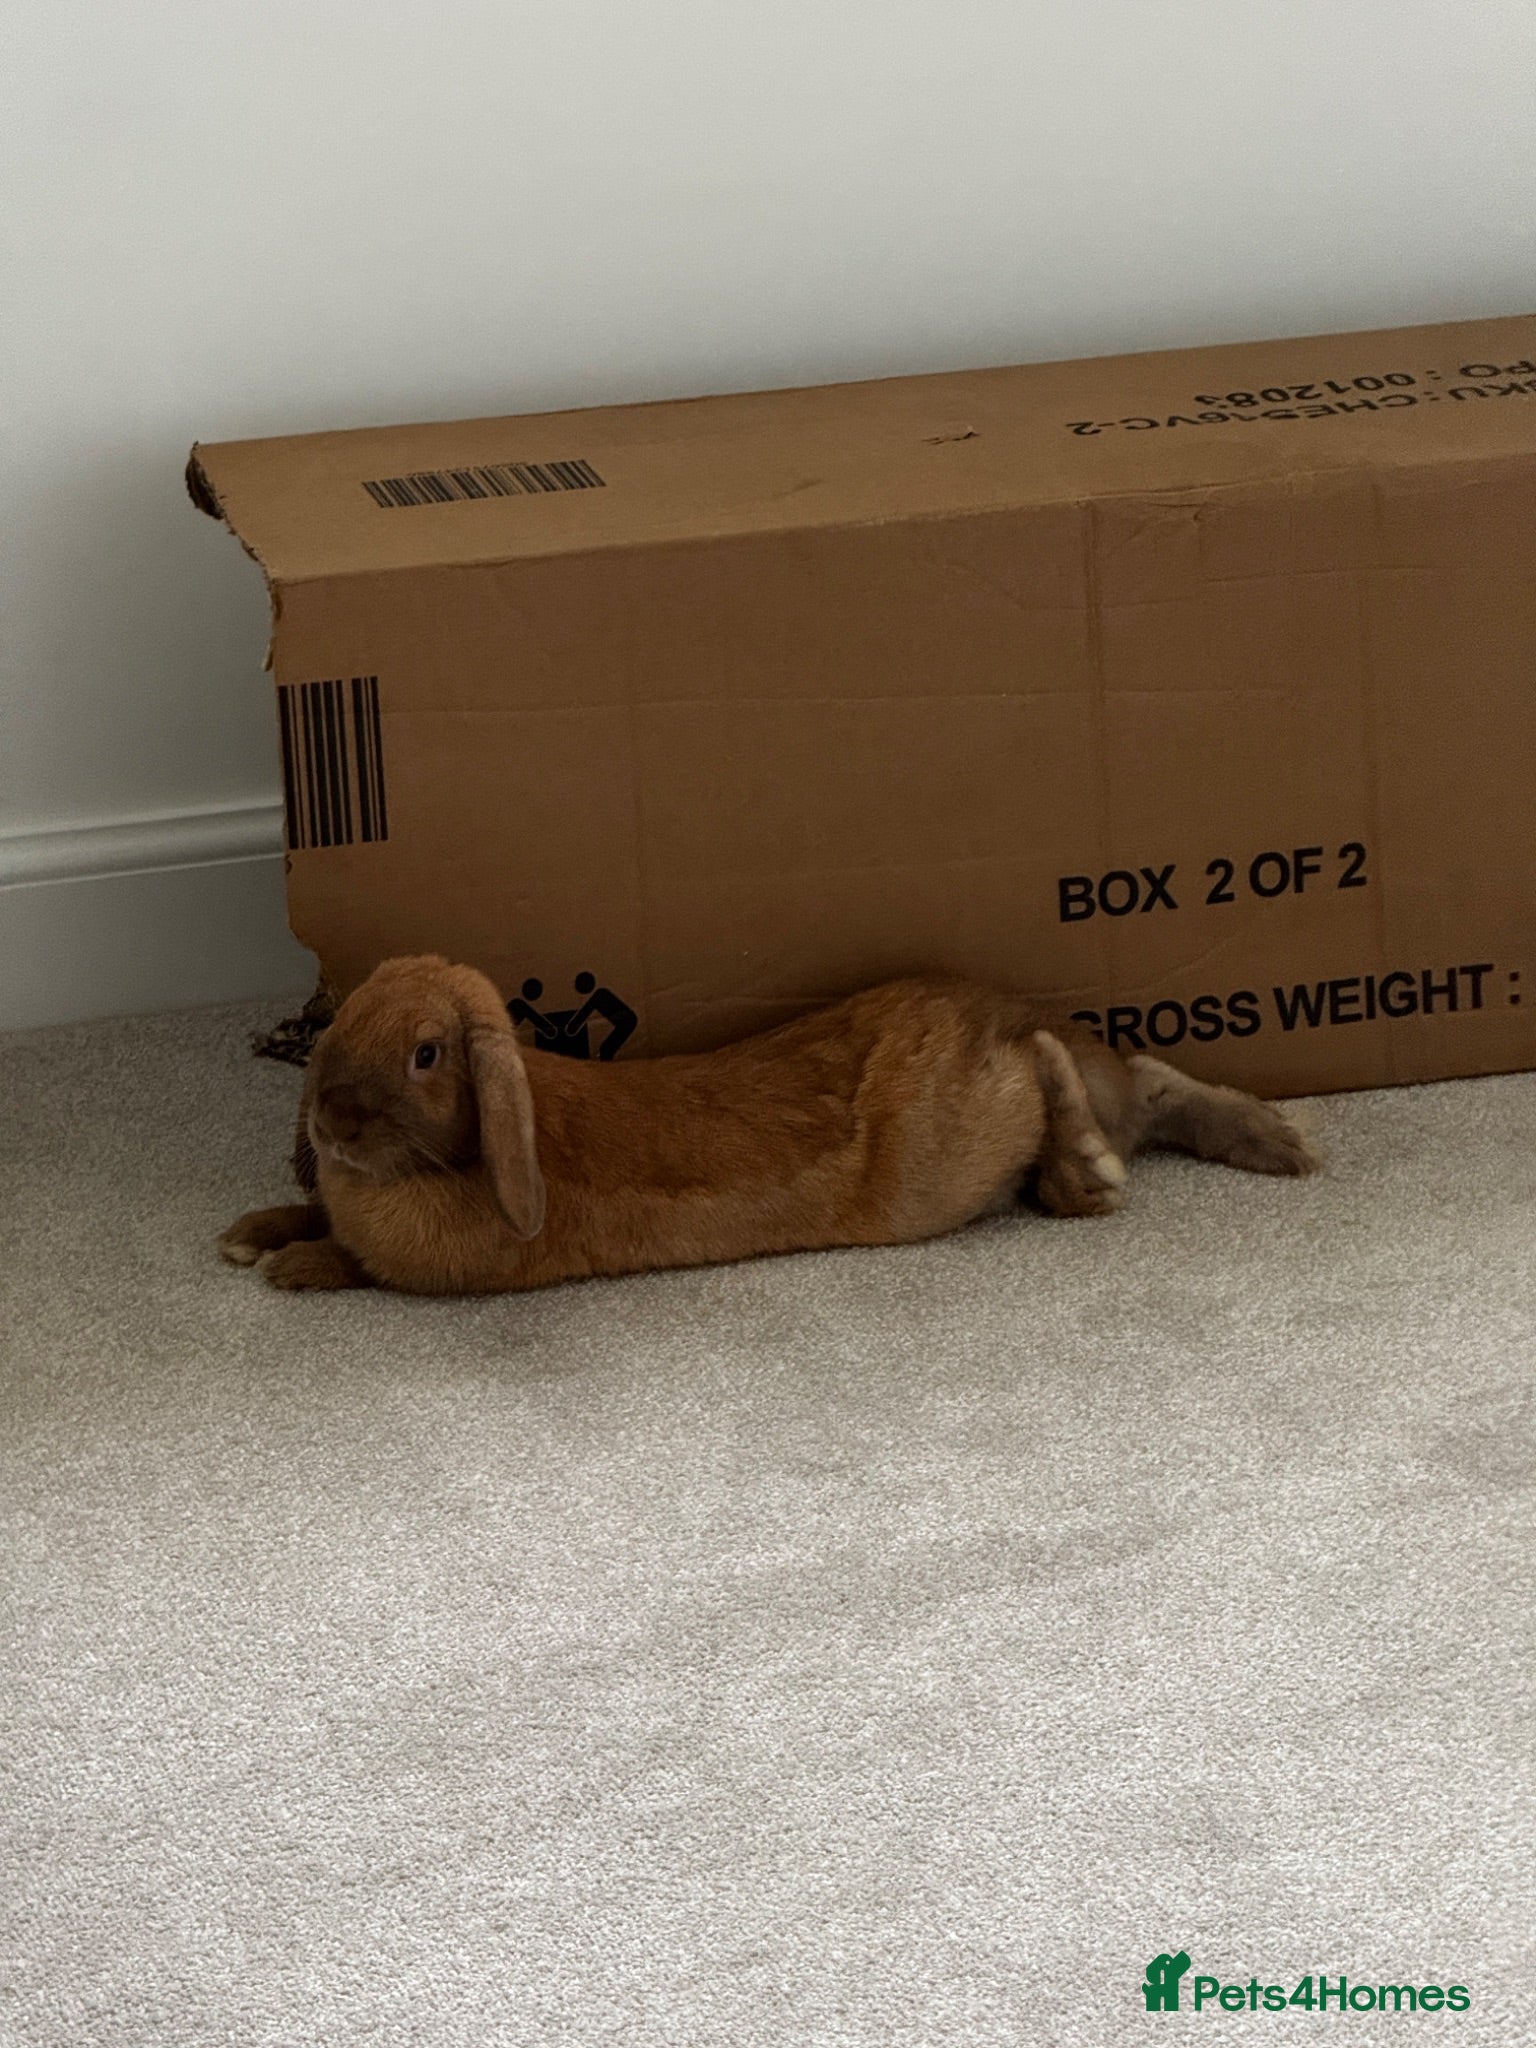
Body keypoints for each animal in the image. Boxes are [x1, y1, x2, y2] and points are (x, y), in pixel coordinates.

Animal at [219, 955, 1318, 1295]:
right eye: (342, 1025)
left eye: (424, 1053)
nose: (330, 1123)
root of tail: (1000, 1013)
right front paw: (249, 1232)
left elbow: (357, 1264)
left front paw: (291, 1265)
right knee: (1140, 1094)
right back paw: (1281, 1141)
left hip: (948, 1157)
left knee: (1077, 1151)